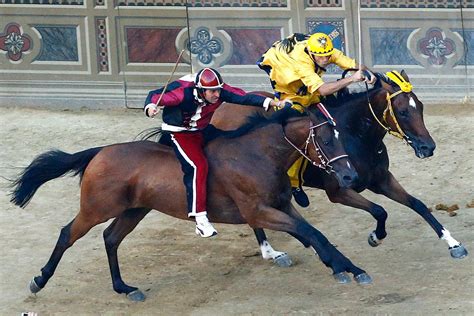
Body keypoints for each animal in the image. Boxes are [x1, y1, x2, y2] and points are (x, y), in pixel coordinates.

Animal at [11, 106, 366, 302]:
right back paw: (39, 280)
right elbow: (312, 233)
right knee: (67, 234)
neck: (256, 155)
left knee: (110, 238)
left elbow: (315, 233)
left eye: (339, 135)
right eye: (326, 139)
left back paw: (124, 288)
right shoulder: (259, 212)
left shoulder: (280, 206)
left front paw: (351, 267)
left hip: (134, 210)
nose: (350, 176)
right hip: (96, 209)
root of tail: (99, 152)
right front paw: (341, 268)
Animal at [212, 71, 466, 270]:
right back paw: (271, 252)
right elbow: (379, 210)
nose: (428, 147)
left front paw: (453, 243)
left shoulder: (381, 179)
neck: (355, 134)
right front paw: (375, 237)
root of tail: (221, 109)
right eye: (402, 112)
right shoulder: (338, 192)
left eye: (421, 107)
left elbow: (418, 205)